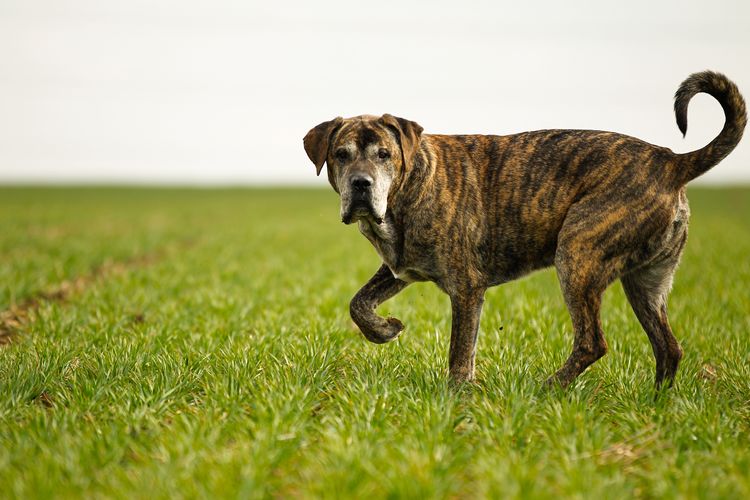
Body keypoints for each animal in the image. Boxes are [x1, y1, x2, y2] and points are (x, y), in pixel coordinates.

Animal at [304, 71, 748, 390]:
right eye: (340, 154)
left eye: (385, 154)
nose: (361, 184)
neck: (407, 190)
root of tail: (671, 160)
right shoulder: (400, 266)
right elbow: (359, 302)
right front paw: (384, 330)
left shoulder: (467, 289)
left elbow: (459, 354)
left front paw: (456, 401)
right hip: (646, 283)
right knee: (668, 349)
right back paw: (656, 406)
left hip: (577, 254)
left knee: (592, 341)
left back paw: (546, 389)